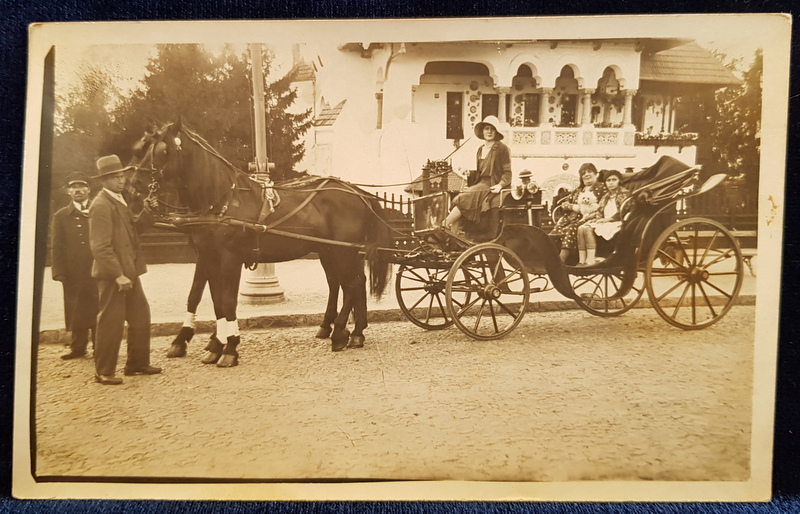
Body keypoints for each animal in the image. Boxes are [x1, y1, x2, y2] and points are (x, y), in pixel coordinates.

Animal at [129, 119, 394, 364]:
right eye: (141, 149)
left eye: (163, 151)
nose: (135, 184)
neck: (222, 200)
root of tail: (357, 192)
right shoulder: (207, 256)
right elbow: (210, 299)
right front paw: (214, 343)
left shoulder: (230, 259)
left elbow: (226, 301)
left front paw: (229, 347)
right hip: (332, 251)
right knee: (344, 283)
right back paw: (351, 331)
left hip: (343, 252)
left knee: (352, 284)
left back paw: (340, 332)